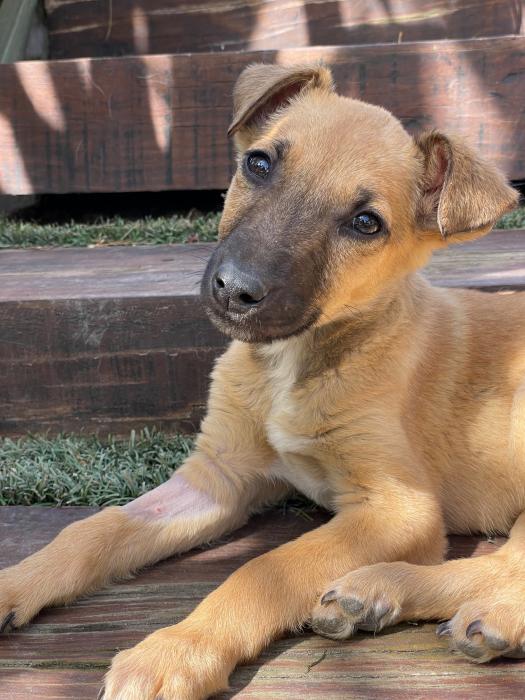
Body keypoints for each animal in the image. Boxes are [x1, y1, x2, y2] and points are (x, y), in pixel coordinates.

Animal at [1, 63, 524, 696]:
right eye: (258, 163)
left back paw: (450, 607)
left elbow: (266, 567)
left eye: (365, 223)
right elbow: (94, 530)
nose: (235, 289)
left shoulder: (399, 507)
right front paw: (13, 583)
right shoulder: (218, 476)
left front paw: (176, 651)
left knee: (507, 563)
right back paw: (377, 595)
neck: (290, 367)